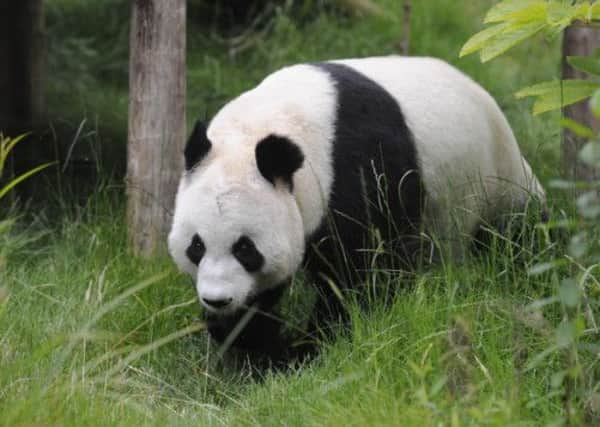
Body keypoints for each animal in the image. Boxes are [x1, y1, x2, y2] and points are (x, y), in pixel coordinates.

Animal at [166, 55, 548, 360]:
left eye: (245, 248)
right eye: (196, 246)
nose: (217, 300)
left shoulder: (360, 171)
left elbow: (359, 273)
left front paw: (310, 347)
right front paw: (254, 341)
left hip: (498, 183)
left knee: (522, 237)